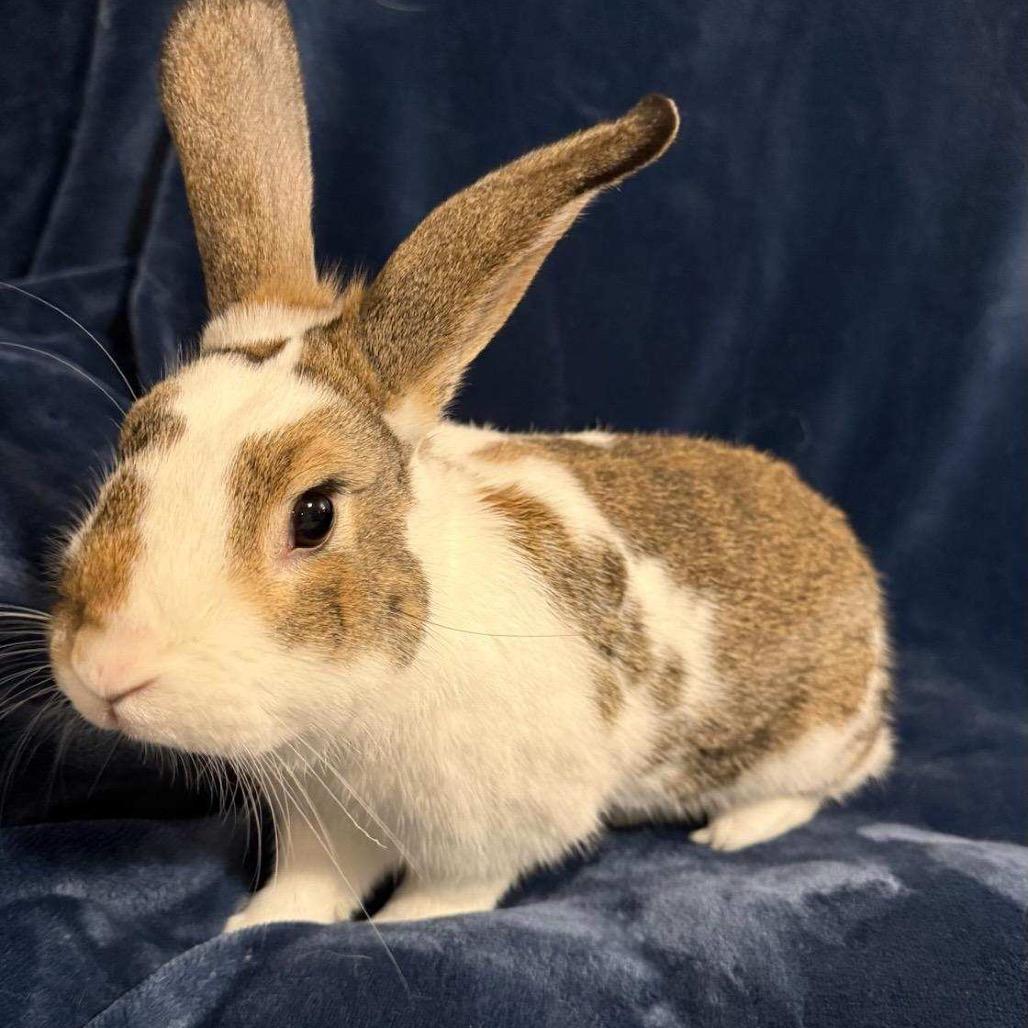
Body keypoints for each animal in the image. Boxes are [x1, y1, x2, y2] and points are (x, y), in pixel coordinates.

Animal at [47, 0, 892, 930]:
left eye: (314, 514)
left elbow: (445, 897)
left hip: (812, 738)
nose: (107, 670)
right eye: (127, 447)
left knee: (840, 775)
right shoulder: (323, 821)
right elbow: (308, 885)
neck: (362, 696)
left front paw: (397, 928)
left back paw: (736, 832)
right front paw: (260, 926)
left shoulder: (488, 834)